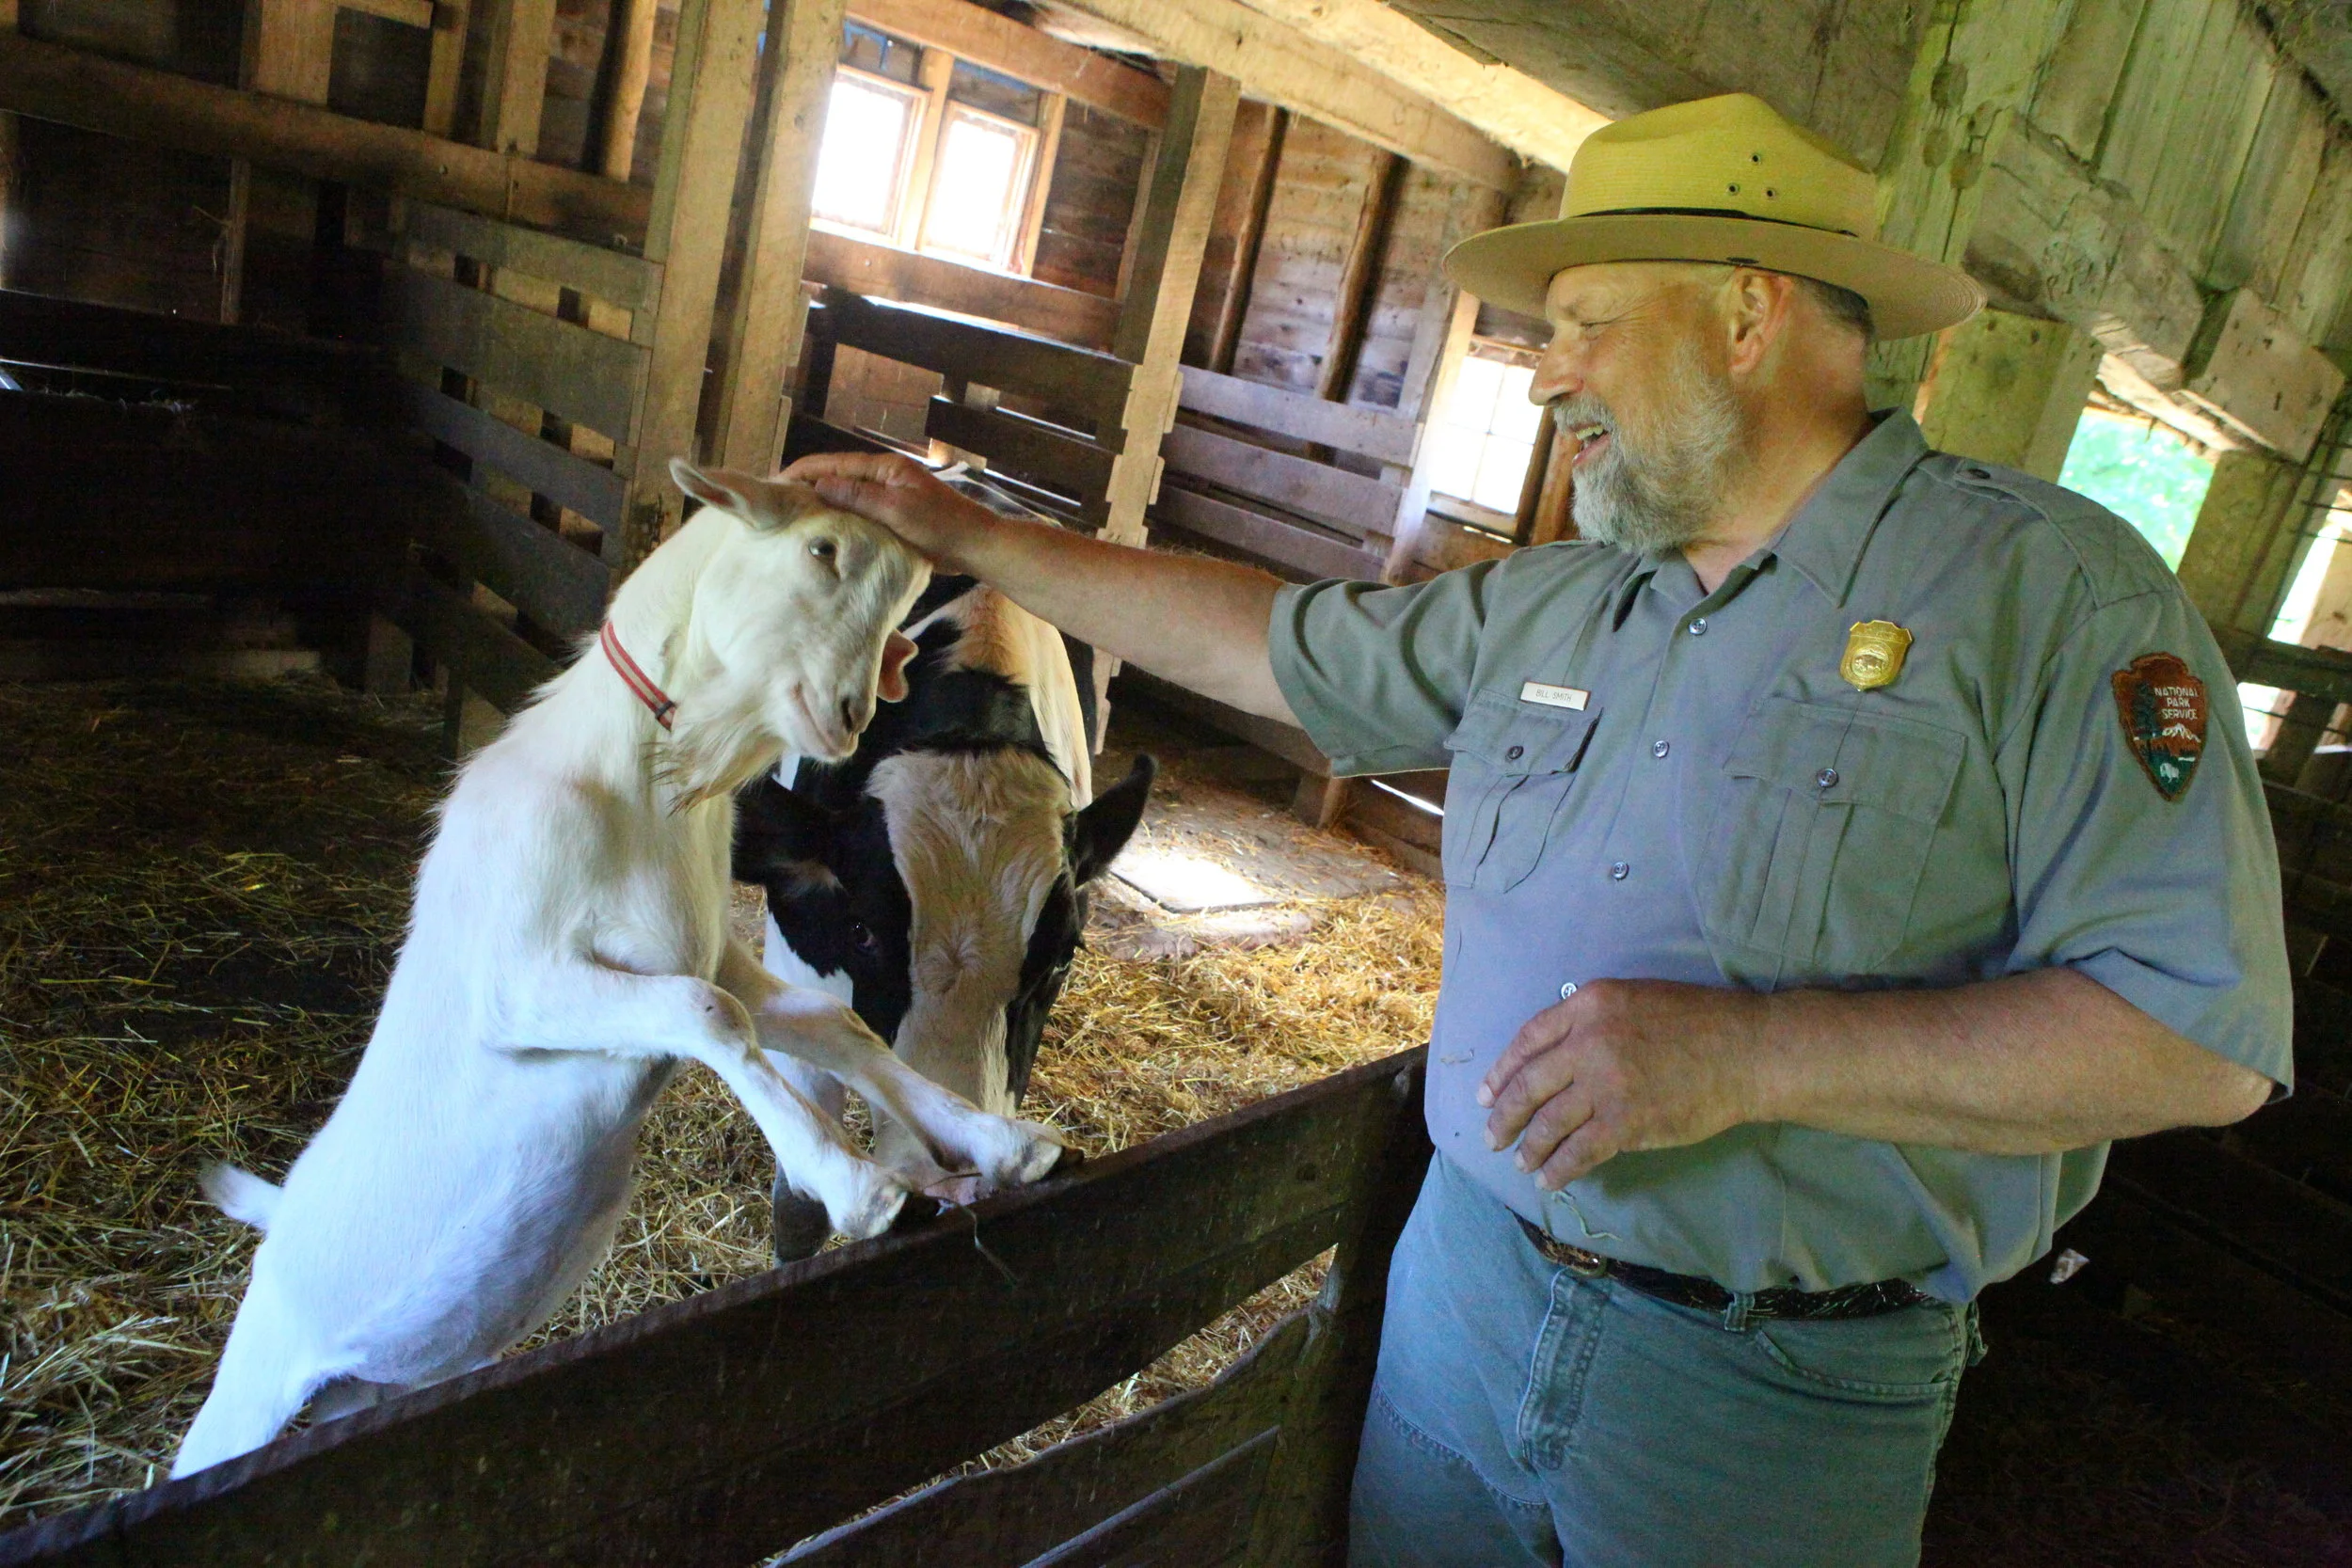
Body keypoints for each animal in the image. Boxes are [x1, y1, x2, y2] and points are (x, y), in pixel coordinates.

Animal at [170, 463, 1064, 1477]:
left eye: (908, 594)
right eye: (822, 547)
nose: (849, 717)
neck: (644, 791)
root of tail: (281, 1219)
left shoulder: (714, 949)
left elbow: (827, 1024)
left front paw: (999, 1142)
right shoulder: (521, 984)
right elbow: (709, 1013)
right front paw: (860, 1187)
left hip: (371, 1387)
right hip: (253, 1386)